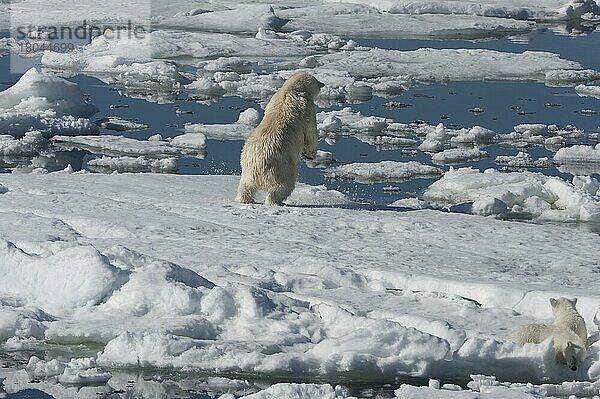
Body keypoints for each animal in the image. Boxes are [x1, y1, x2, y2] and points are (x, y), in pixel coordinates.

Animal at [234, 72, 324, 206]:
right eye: (317, 82)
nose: (322, 84)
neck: (292, 90)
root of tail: (257, 168)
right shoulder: (307, 109)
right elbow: (311, 133)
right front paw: (310, 155)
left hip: (246, 170)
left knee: (245, 187)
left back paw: (243, 199)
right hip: (280, 168)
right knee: (282, 187)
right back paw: (276, 202)